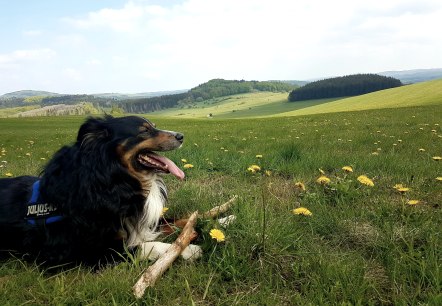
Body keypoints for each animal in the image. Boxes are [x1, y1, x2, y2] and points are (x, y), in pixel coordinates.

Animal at [0, 116, 202, 266]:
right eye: (144, 130)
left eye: (154, 126)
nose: (181, 136)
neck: (112, 179)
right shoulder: (88, 250)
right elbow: (145, 247)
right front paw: (187, 249)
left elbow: (177, 220)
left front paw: (206, 221)